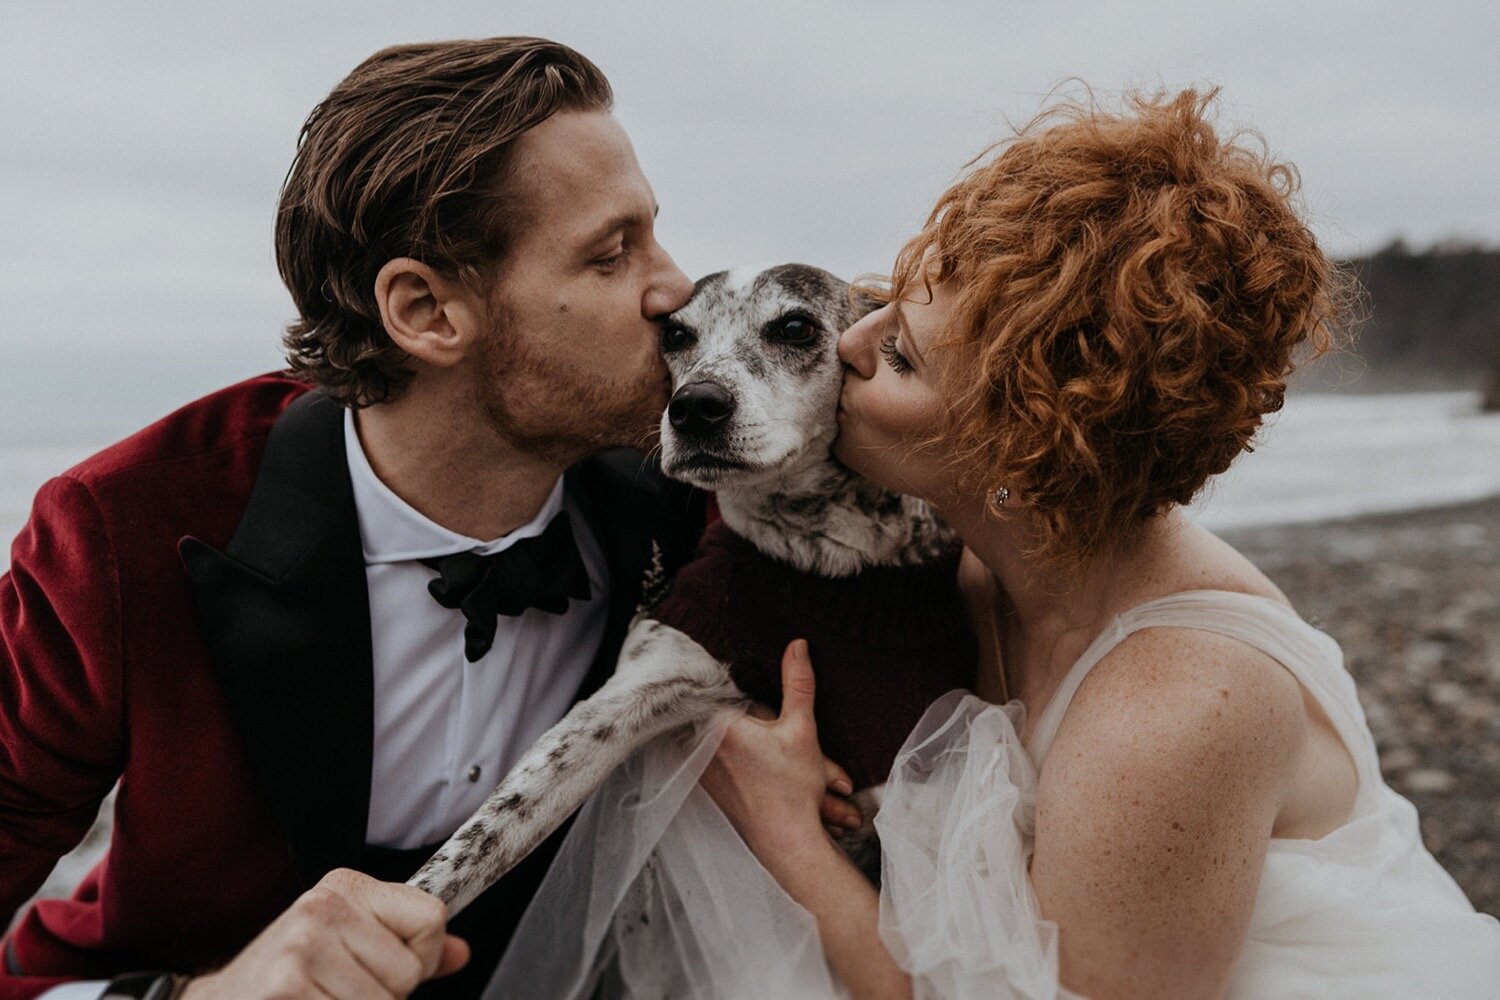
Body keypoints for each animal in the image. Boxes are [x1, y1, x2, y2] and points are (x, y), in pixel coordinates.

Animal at [411, 263, 972, 917]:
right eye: (676, 335)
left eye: (796, 327)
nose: (695, 406)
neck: (820, 559)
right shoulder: (628, 696)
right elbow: (479, 841)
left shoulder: (910, 775)